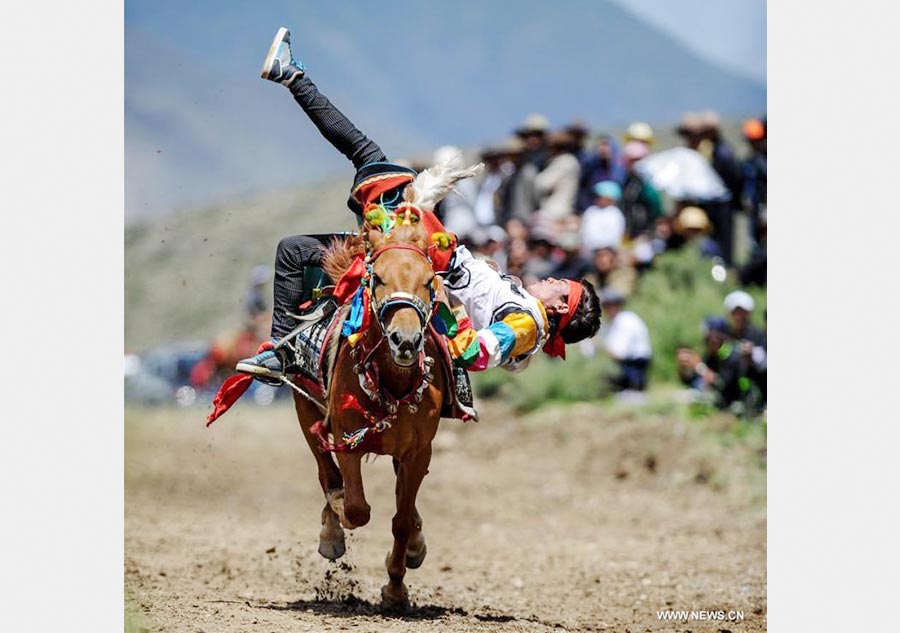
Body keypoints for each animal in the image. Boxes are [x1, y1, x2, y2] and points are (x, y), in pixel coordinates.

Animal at [294, 216, 448, 608]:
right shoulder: (348, 441)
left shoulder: (417, 452)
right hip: (306, 410)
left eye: (429, 280)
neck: (390, 381)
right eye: (377, 277)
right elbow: (355, 509)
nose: (405, 341)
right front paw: (335, 520)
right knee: (326, 472)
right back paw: (331, 531)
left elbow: (402, 520)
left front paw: (396, 588)